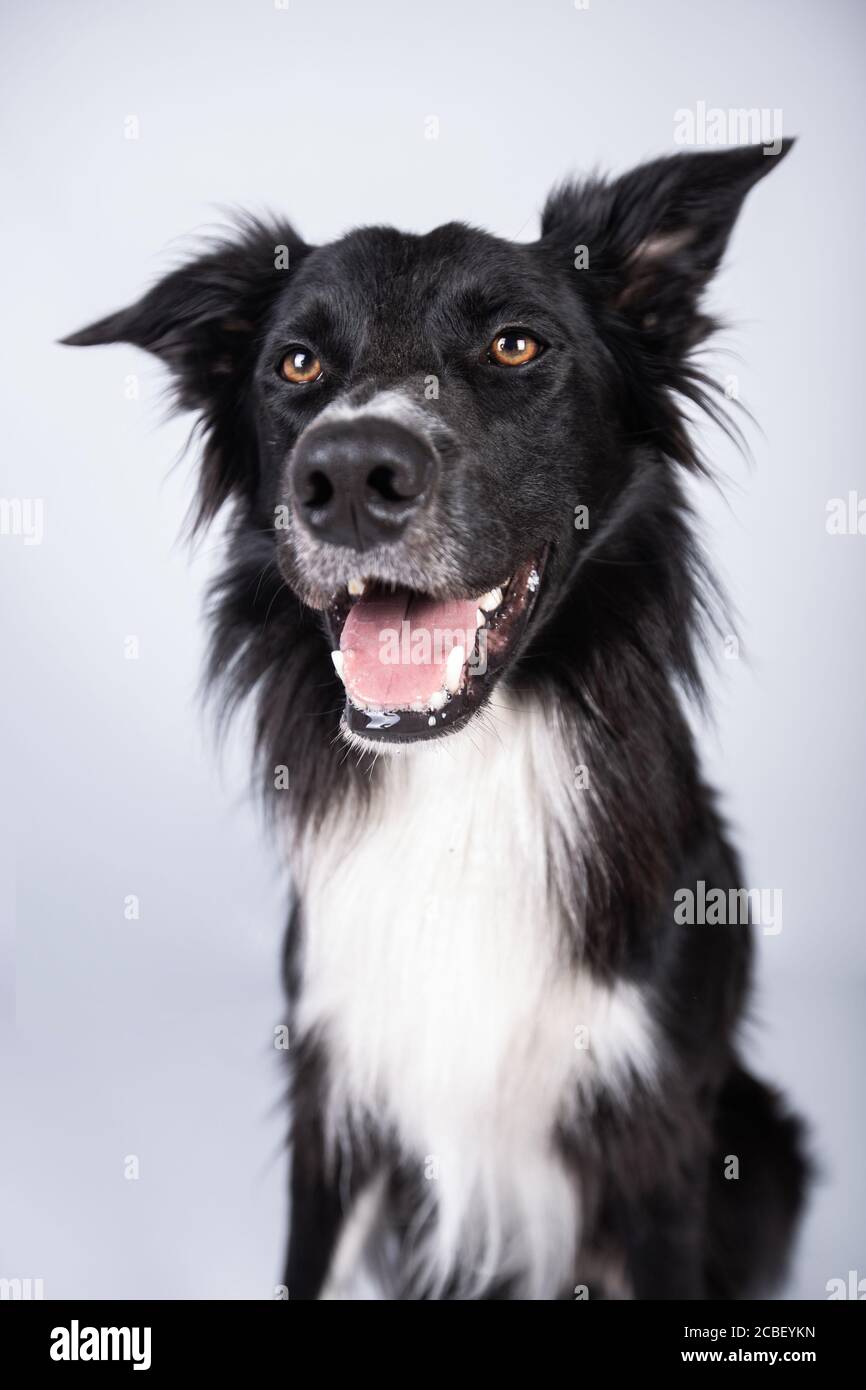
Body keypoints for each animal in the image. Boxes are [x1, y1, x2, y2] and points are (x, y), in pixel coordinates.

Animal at [64, 143, 811, 1301]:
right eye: (294, 364)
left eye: (515, 345)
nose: (349, 476)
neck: (461, 777)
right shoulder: (336, 1099)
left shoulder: (654, 1134)